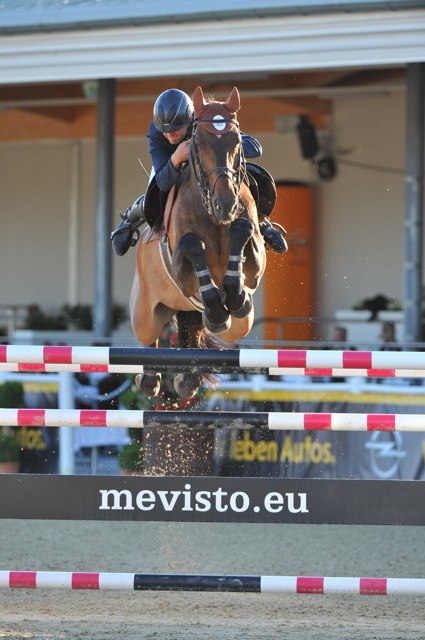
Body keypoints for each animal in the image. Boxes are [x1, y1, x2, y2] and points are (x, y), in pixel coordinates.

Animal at [130, 86, 264, 400]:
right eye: (198, 143)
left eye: (236, 141)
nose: (225, 204)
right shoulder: (180, 266)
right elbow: (192, 245)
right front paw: (217, 308)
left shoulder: (256, 260)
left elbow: (243, 230)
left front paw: (235, 296)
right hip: (144, 312)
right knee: (148, 336)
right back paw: (150, 379)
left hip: (228, 323)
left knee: (193, 329)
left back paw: (187, 379)